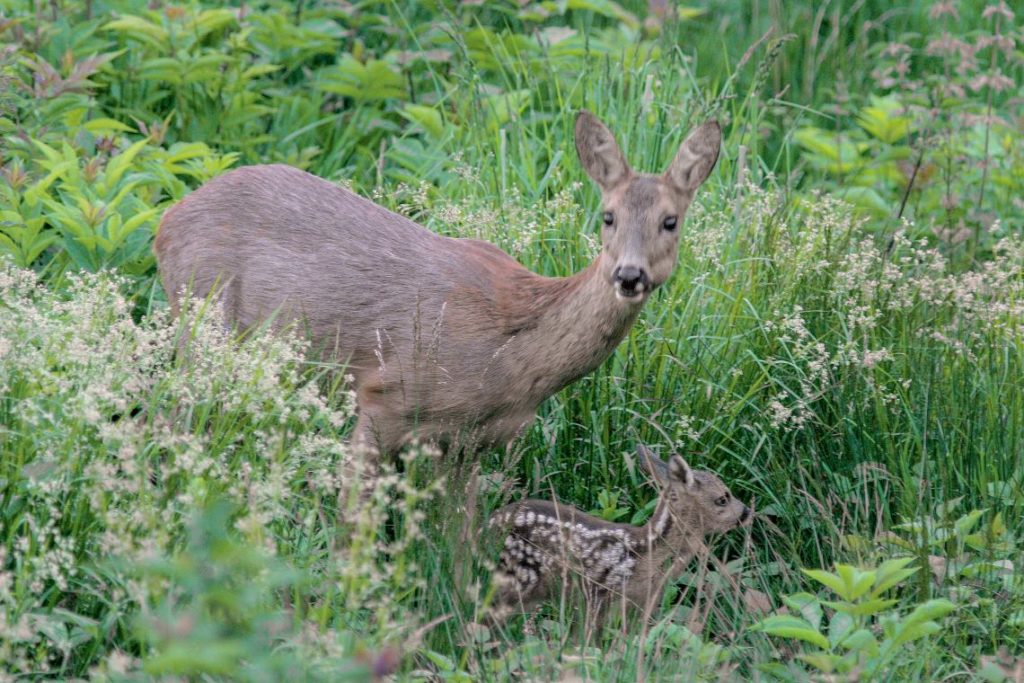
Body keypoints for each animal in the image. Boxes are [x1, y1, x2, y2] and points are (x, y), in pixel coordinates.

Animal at [157, 112, 720, 462]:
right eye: (607, 216)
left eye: (671, 221)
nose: (629, 274)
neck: (516, 358)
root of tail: (165, 223)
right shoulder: (385, 395)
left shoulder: (472, 441)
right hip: (201, 321)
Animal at [479, 444, 753, 630]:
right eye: (722, 499)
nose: (747, 512)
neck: (649, 554)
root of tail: (486, 525)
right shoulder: (601, 595)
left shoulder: (644, 604)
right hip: (515, 576)